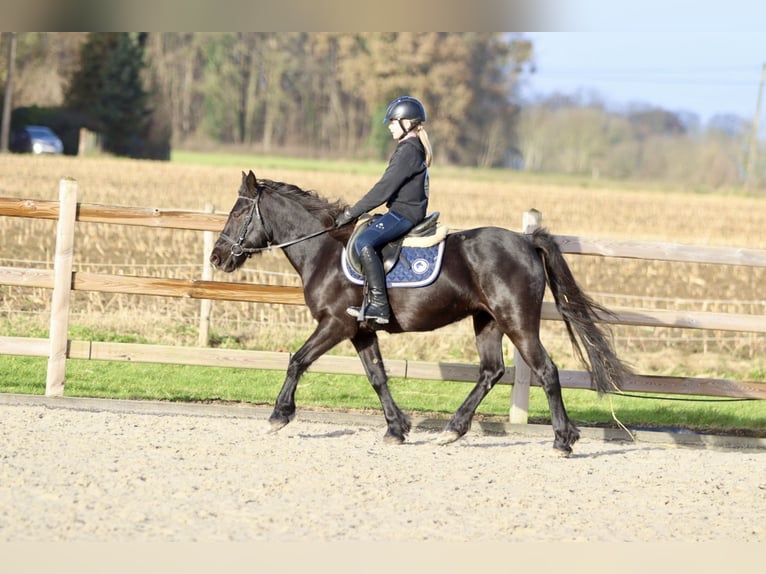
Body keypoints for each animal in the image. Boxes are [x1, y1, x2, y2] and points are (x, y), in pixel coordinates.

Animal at [210, 169, 632, 456]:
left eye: (238, 214)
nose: (216, 257)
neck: (324, 251)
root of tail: (526, 241)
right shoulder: (361, 330)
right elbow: (377, 377)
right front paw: (397, 428)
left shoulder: (335, 323)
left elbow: (297, 361)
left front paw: (278, 417)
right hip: (487, 321)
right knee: (491, 372)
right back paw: (453, 430)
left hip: (517, 321)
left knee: (546, 371)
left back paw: (563, 439)